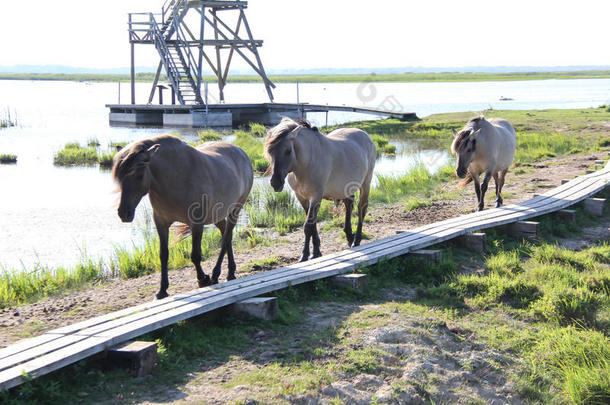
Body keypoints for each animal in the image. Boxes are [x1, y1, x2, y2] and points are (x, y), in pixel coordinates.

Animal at [110, 134, 251, 298]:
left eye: (139, 175)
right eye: (119, 177)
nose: (124, 213)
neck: (177, 176)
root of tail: (241, 152)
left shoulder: (197, 224)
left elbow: (195, 255)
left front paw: (203, 279)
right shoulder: (161, 223)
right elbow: (163, 255)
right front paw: (162, 290)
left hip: (236, 209)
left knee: (226, 238)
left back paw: (216, 274)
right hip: (218, 215)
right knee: (226, 234)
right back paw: (230, 272)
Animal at [262, 117, 376, 262]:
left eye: (288, 151)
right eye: (269, 152)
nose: (275, 183)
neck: (305, 165)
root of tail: (365, 135)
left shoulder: (316, 197)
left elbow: (308, 226)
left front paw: (305, 255)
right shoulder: (302, 197)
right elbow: (312, 225)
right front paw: (316, 251)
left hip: (366, 183)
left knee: (362, 209)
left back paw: (356, 240)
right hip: (346, 188)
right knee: (348, 205)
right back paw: (349, 236)